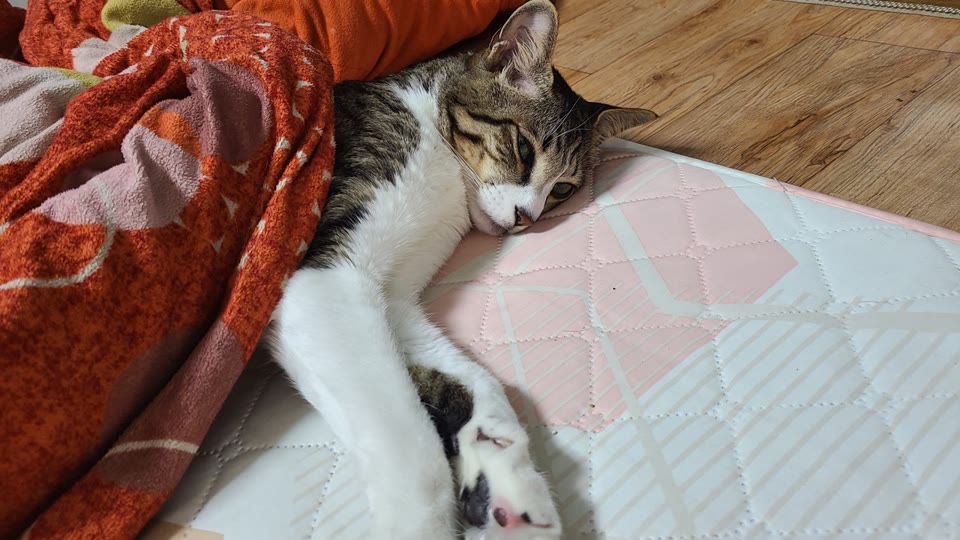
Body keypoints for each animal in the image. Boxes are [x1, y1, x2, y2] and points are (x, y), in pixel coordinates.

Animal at [270, 1, 656, 538]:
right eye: (523, 149)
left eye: (563, 189)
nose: (526, 218)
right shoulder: (326, 278)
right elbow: (412, 449)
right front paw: (423, 523)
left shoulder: (391, 299)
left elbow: (471, 380)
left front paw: (504, 476)